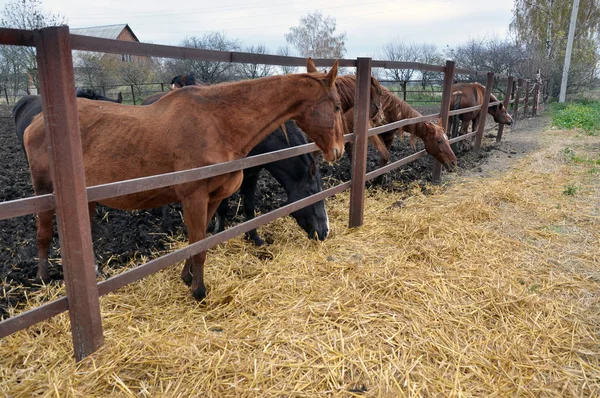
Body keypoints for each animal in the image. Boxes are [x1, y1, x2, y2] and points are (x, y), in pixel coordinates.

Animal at [24, 58, 342, 302]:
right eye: (338, 106)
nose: (338, 150)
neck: (217, 123)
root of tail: (37, 121)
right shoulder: (194, 198)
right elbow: (198, 245)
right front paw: (199, 292)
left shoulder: (212, 198)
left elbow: (198, 241)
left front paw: (187, 278)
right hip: (43, 189)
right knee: (43, 234)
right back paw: (42, 279)